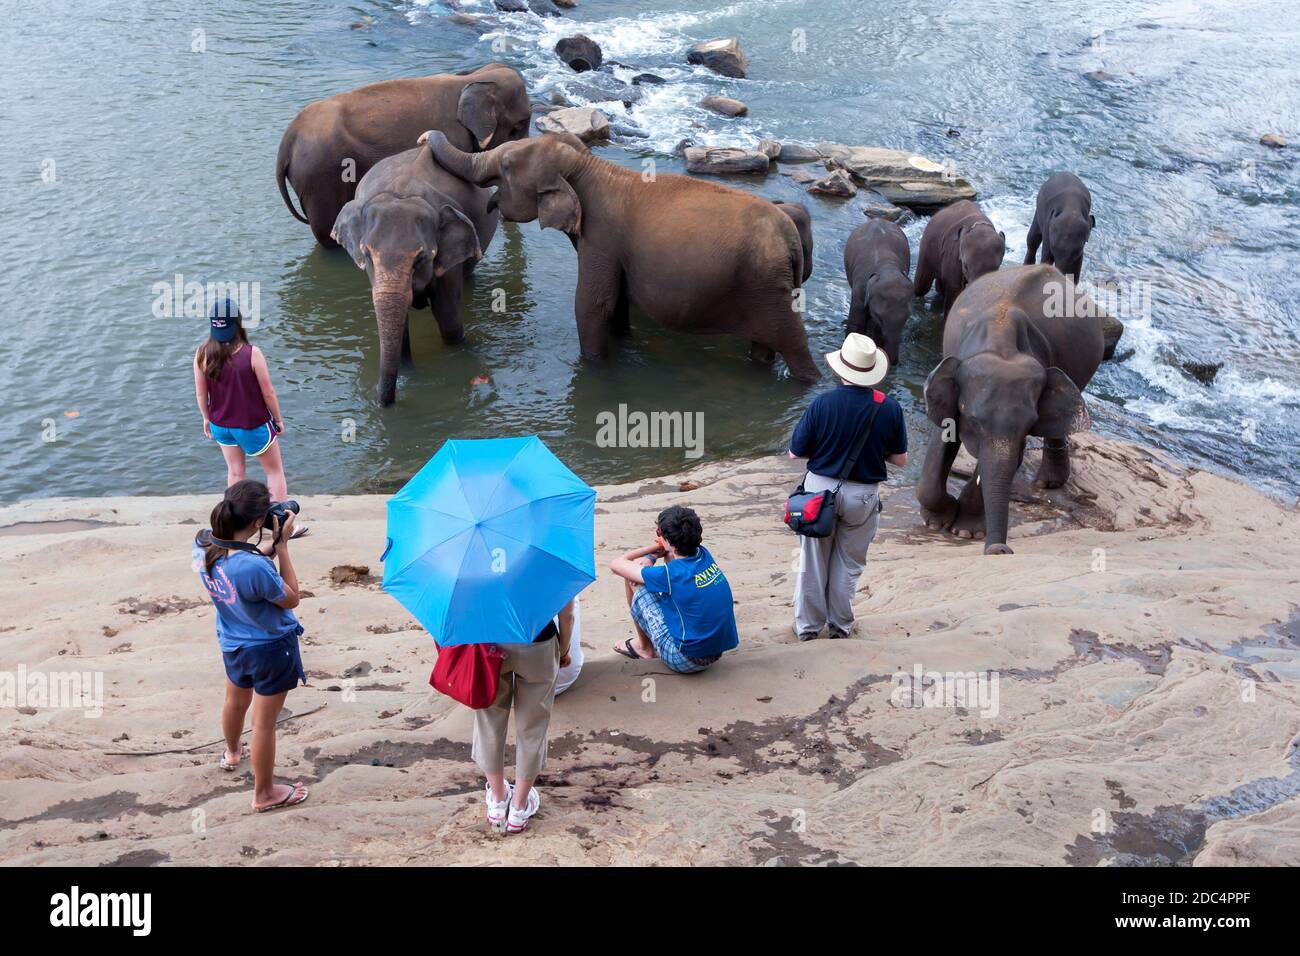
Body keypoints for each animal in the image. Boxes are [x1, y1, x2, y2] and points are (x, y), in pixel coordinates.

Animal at [332, 143, 499, 405]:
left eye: (420, 259)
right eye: (367, 255)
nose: (386, 402)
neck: (402, 193)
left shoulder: (448, 260)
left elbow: (448, 317)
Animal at [842, 219, 915, 366]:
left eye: (907, 317)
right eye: (878, 316)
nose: (894, 363)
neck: (886, 267)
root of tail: (877, 219)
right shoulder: (860, 289)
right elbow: (856, 325)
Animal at [915, 265, 1118, 556]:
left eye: (1029, 424)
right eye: (973, 420)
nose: (1001, 550)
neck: (1003, 347)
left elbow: (1011, 456)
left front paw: (966, 531)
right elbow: (943, 438)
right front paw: (936, 521)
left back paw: (1048, 484)